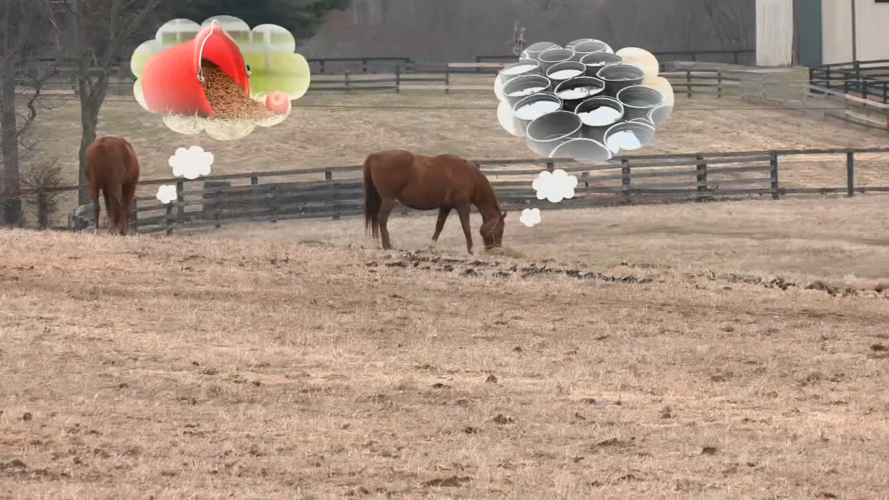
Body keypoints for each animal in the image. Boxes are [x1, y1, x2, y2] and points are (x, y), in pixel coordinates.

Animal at [363, 150, 506, 254]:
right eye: (500, 230)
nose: (496, 249)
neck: (470, 176)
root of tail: (374, 156)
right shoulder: (463, 206)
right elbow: (466, 227)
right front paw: (470, 250)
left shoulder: (445, 207)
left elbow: (439, 226)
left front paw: (431, 247)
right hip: (388, 199)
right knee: (382, 219)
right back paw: (387, 245)